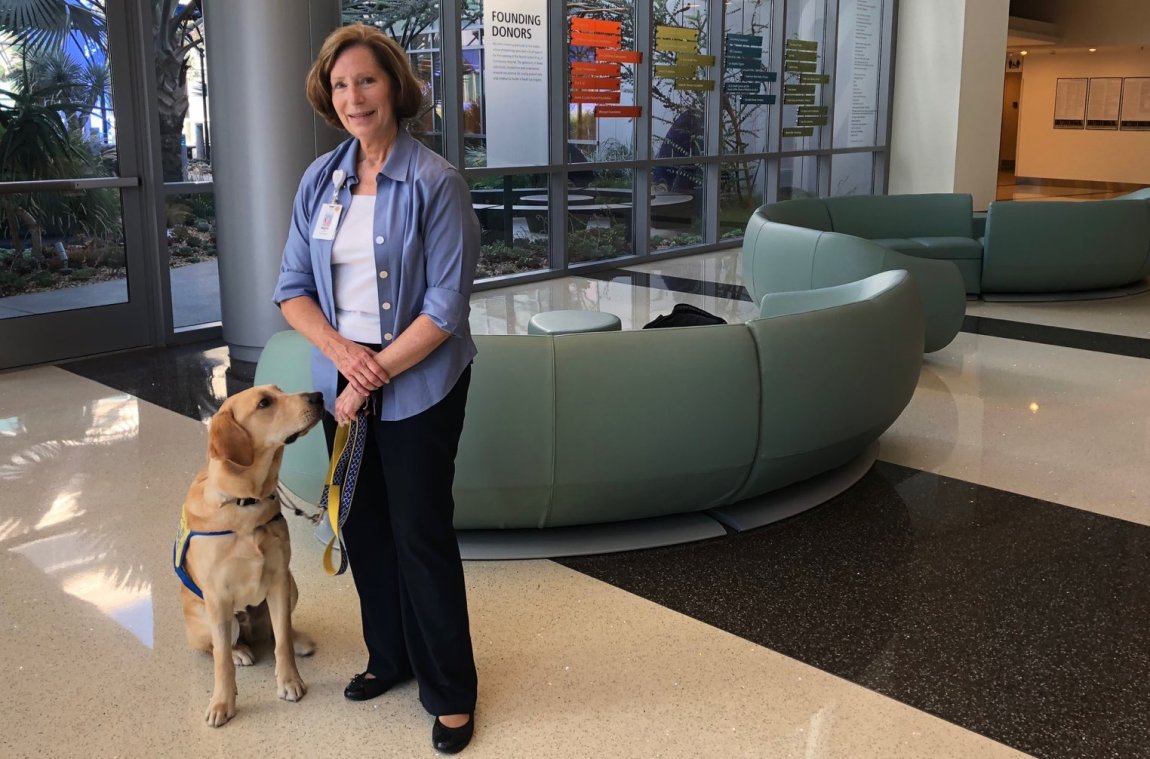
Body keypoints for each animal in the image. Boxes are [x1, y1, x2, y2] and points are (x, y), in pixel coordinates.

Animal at [177, 388, 326, 726]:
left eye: (281, 391)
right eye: (264, 403)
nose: (318, 396)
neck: (245, 502)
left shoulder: (279, 579)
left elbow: (281, 641)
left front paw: (289, 680)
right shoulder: (217, 596)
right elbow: (220, 660)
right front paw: (222, 702)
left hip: (292, 585)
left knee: (276, 630)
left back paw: (297, 640)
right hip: (212, 618)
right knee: (216, 647)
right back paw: (239, 651)